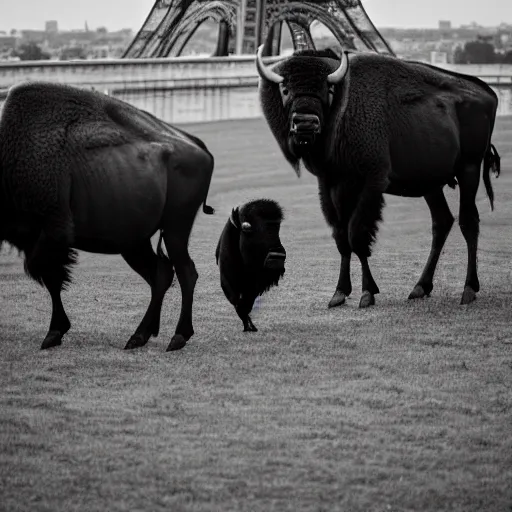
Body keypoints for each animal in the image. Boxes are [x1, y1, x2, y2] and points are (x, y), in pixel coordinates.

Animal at [0, 81, 215, 352]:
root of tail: (198, 145)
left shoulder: (51, 234)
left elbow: (51, 278)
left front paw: (53, 333)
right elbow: (51, 279)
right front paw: (55, 332)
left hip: (175, 228)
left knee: (185, 271)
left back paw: (177, 337)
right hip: (135, 241)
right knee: (161, 273)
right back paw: (139, 336)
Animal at [214, 198, 286, 334]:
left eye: (277, 226)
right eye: (246, 227)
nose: (277, 255)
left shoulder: (253, 287)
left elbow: (247, 304)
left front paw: (251, 327)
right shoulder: (228, 282)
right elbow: (238, 304)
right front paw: (248, 327)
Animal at [256, 46, 500, 308]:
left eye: (327, 89)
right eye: (285, 89)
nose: (305, 124)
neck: (344, 109)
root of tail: (487, 93)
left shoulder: (372, 183)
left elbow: (357, 234)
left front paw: (367, 293)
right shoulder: (331, 184)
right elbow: (342, 237)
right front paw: (339, 293)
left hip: (469, 169)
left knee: (469, 221)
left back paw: (468, 289)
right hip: (431, 184)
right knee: (442, 222)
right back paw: (420, 287)